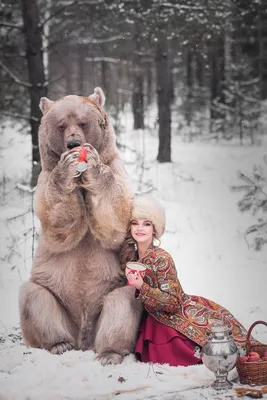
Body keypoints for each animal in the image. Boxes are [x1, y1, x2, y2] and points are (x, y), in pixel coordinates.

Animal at [19, 87, 143, 366]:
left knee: (123, 302)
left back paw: (109, 353)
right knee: (34, 297)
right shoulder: (43, 179)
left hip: (112, 291)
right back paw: (60, 344)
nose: (73, 144)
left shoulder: (117, 170)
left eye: (84, 123)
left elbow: (116, 218)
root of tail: (84, 339)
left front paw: (93, 165)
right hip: (56, 296)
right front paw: (67, 166)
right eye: (61, 125)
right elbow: (57, 222)